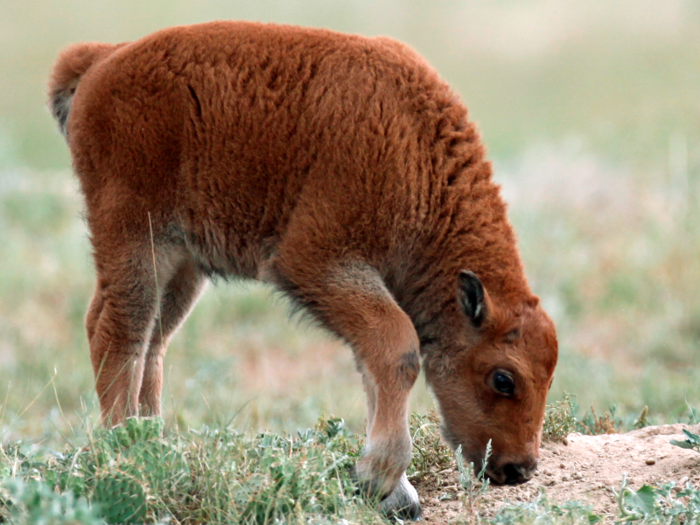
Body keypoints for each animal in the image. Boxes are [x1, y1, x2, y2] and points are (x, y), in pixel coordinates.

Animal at [47, 19, 556, 516]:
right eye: (503, 378)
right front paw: (379, 479)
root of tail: (104, 60)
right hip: (137, 242)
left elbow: (375, 366)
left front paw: (393, 491)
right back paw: (125, 453)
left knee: (153, 342)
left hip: (182, 265)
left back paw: (155, 445)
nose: (518, 469)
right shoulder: (316, 261)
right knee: (117, 333)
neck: (415, 154)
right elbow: (398, 349)